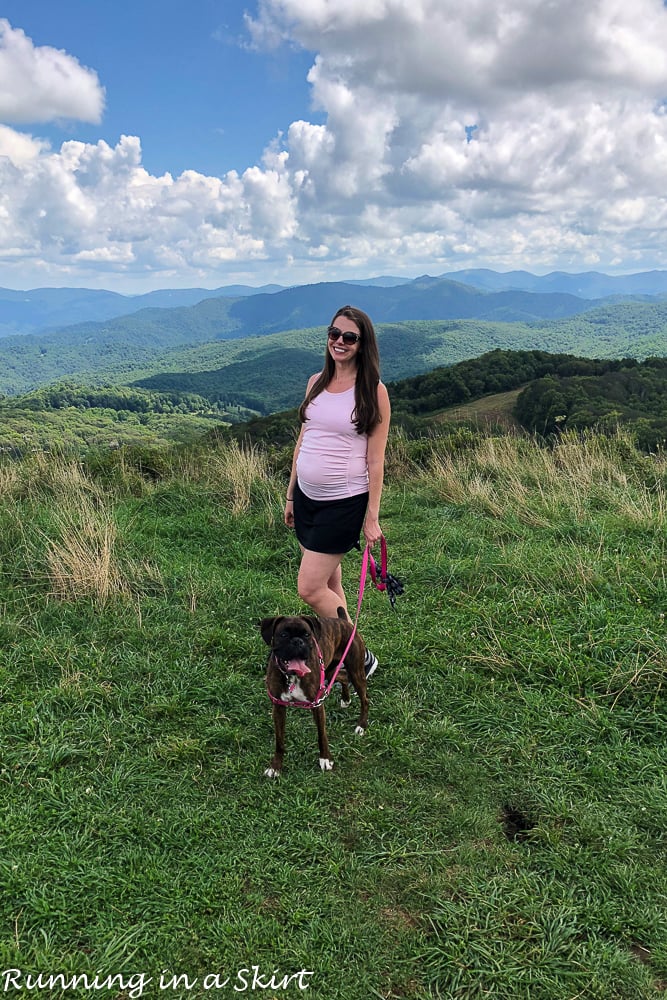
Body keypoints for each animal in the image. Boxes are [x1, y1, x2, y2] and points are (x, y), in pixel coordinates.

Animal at [258, 604, 370, 776]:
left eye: (306, 634)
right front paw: (275, 766)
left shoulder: (317, 705)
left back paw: (361, 725)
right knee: (343, 677)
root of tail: (343, 621)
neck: (292, 676)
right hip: (330, 671)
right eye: (283, 634)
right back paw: (345, 699)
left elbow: (321, 735)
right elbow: (279, 741)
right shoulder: (278, 707)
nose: (297, 641)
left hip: (356, 671)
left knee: (365, 699)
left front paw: (325, 759)